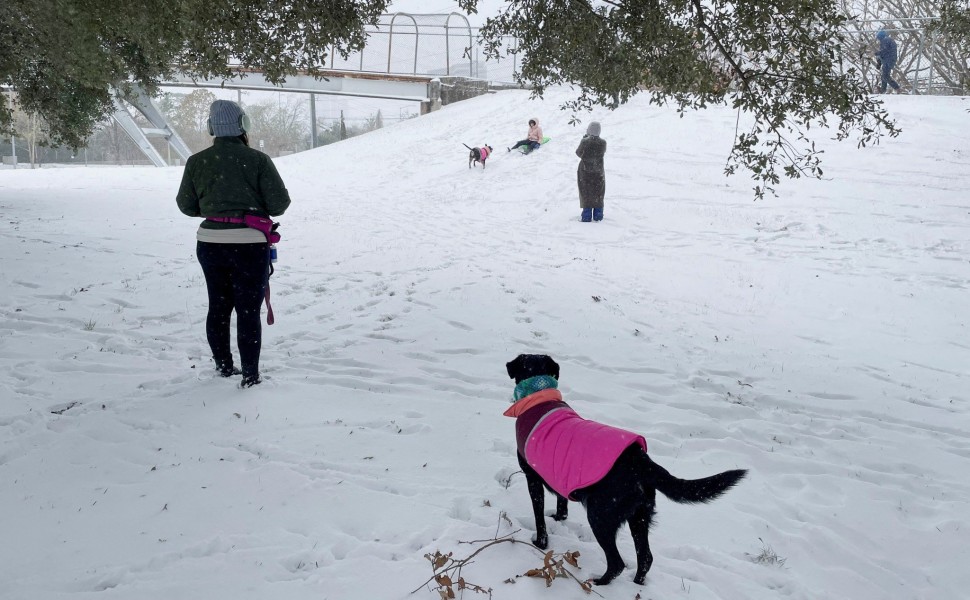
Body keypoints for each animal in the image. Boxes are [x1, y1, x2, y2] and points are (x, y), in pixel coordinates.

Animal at [502, 354, 744, 584]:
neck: (539, 395)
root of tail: (641, 461)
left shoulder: (532, 477)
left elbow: (539, 517)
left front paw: (540, 543)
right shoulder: (560, 477)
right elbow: (562, 503)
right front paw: (559, 518)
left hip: (600, 516)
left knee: (617, 562)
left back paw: (600, 582)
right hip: (639, 516)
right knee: (645, 558)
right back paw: (636, 584)